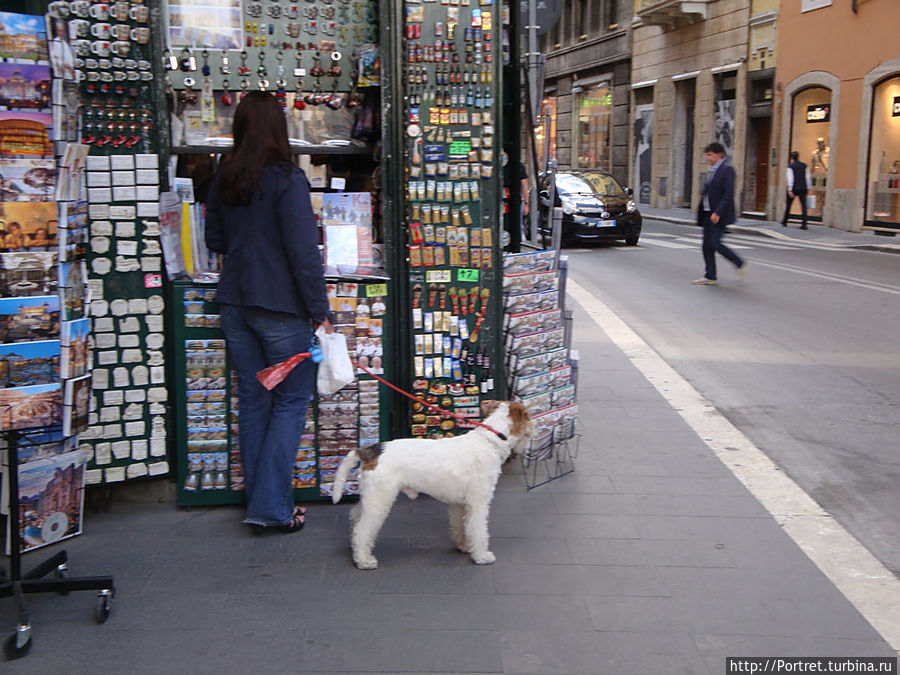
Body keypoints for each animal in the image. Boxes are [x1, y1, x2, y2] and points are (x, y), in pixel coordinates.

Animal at [330, 402, 532, 572]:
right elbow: (478, 530)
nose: (534, 431)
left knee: (355, 518)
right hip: (379, 499)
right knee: (362, 530)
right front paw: (481, 556)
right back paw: (364, 561)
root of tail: (371, 450)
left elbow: (462, 527)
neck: (490, 441)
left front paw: (464, 546)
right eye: (529, 417)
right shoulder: (478, 503)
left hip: (370, 496)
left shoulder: (460, 504)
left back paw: (355, 551)